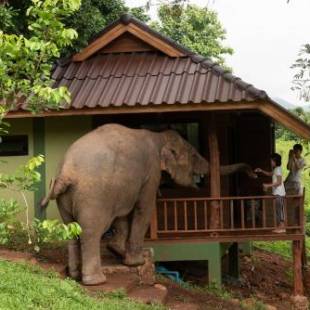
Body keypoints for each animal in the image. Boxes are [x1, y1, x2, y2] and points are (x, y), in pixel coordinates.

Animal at [41, 123, 254, 286]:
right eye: (193, 155)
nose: (255, 174)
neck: (158, 136)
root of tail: (66, 172)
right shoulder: (151, 173)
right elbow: (144, 208)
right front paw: (138, 261)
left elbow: (122, 217)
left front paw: (117, 251)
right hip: (93, 197)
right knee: (90, 232)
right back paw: (96, 281)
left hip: (66, 199)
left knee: (71, 230)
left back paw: (74, 275)